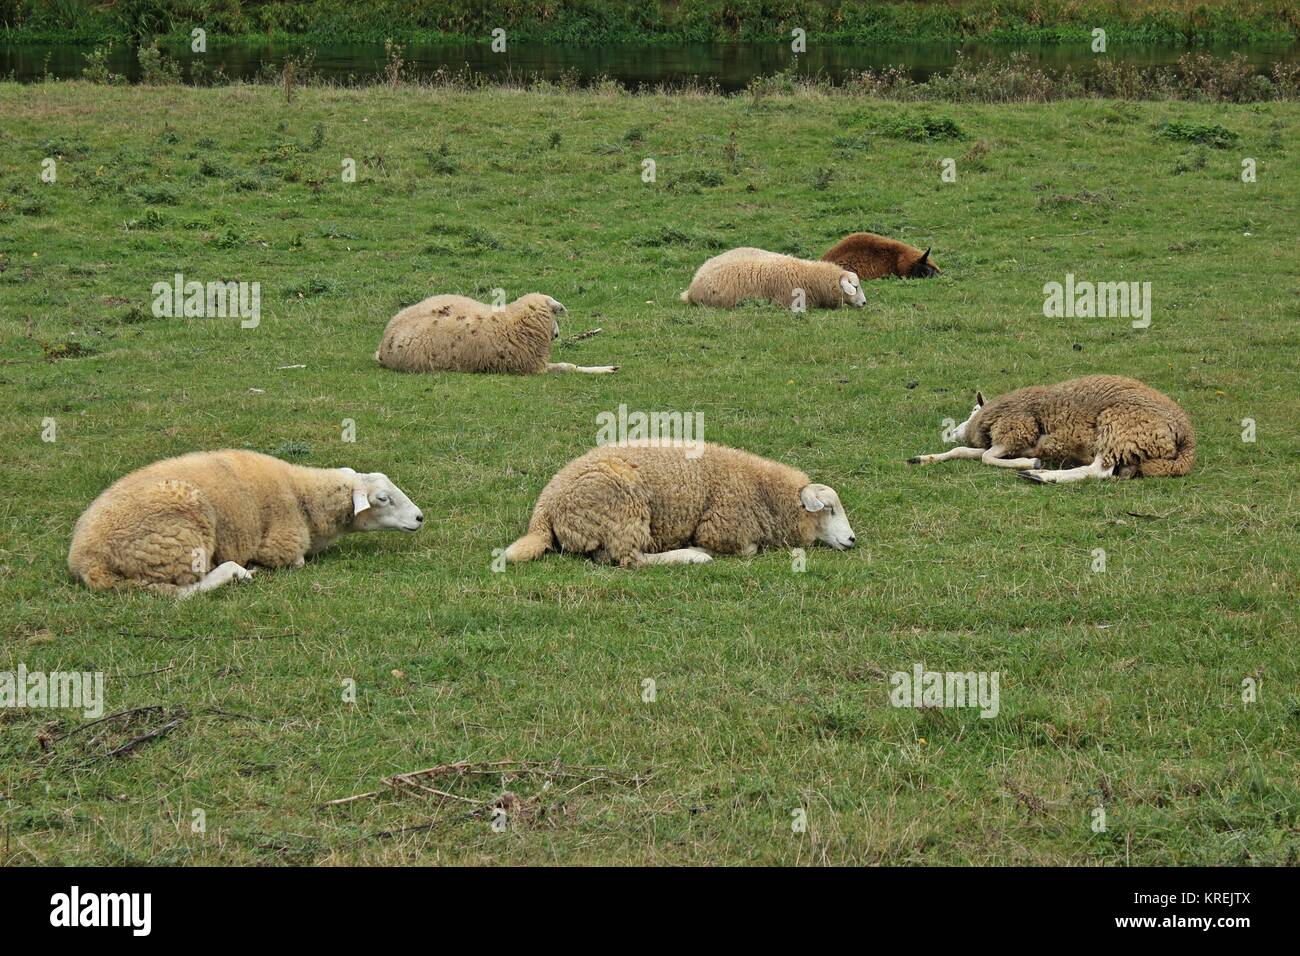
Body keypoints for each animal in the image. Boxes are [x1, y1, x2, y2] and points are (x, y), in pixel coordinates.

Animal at [68, 450, 423, 598]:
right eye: (382, 499)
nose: (420, 517)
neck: (303, 495)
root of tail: (86, 560)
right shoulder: (280, 545)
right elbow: (296, 562)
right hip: (180, 541)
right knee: (186, 591)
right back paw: (238, 572)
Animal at [377, 293, 618, 374]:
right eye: (554, 316)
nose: (557, 335)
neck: (511, 321)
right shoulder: (532, 367)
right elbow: (567, 367)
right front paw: (606, 369)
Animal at [501, 442, 857, 567]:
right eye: (829, 508)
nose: (853, 539)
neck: (763, 491)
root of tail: (545, 506)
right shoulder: (722, 529)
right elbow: (748, 550)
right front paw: (699, 549)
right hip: (623, 511)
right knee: (628, 560)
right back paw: (691, 556)